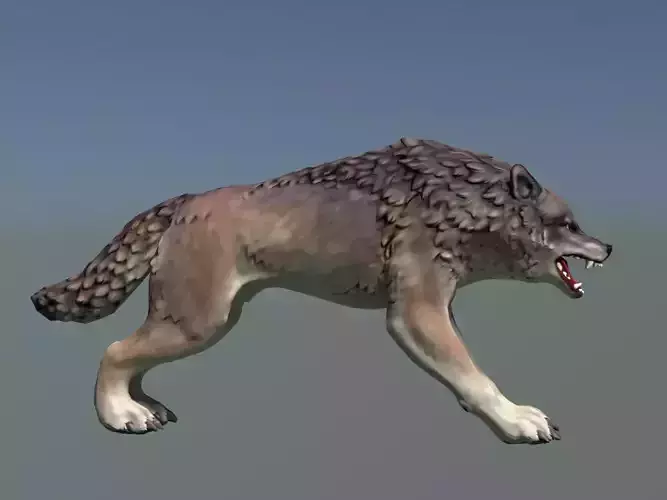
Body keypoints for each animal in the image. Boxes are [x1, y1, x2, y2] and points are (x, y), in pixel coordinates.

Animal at [31, 137, 612, 445]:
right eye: (569, 224)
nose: (607, 246)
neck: (466, 207)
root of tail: (184, 200)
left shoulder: (436, 307)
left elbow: (466, 372)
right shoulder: (414, 313)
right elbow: (476, 376)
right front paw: (517, 421)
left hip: (204, 319)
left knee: (133, 356)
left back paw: (144, 407)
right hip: (199, 322)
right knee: (114, 349)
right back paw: (119, 415)